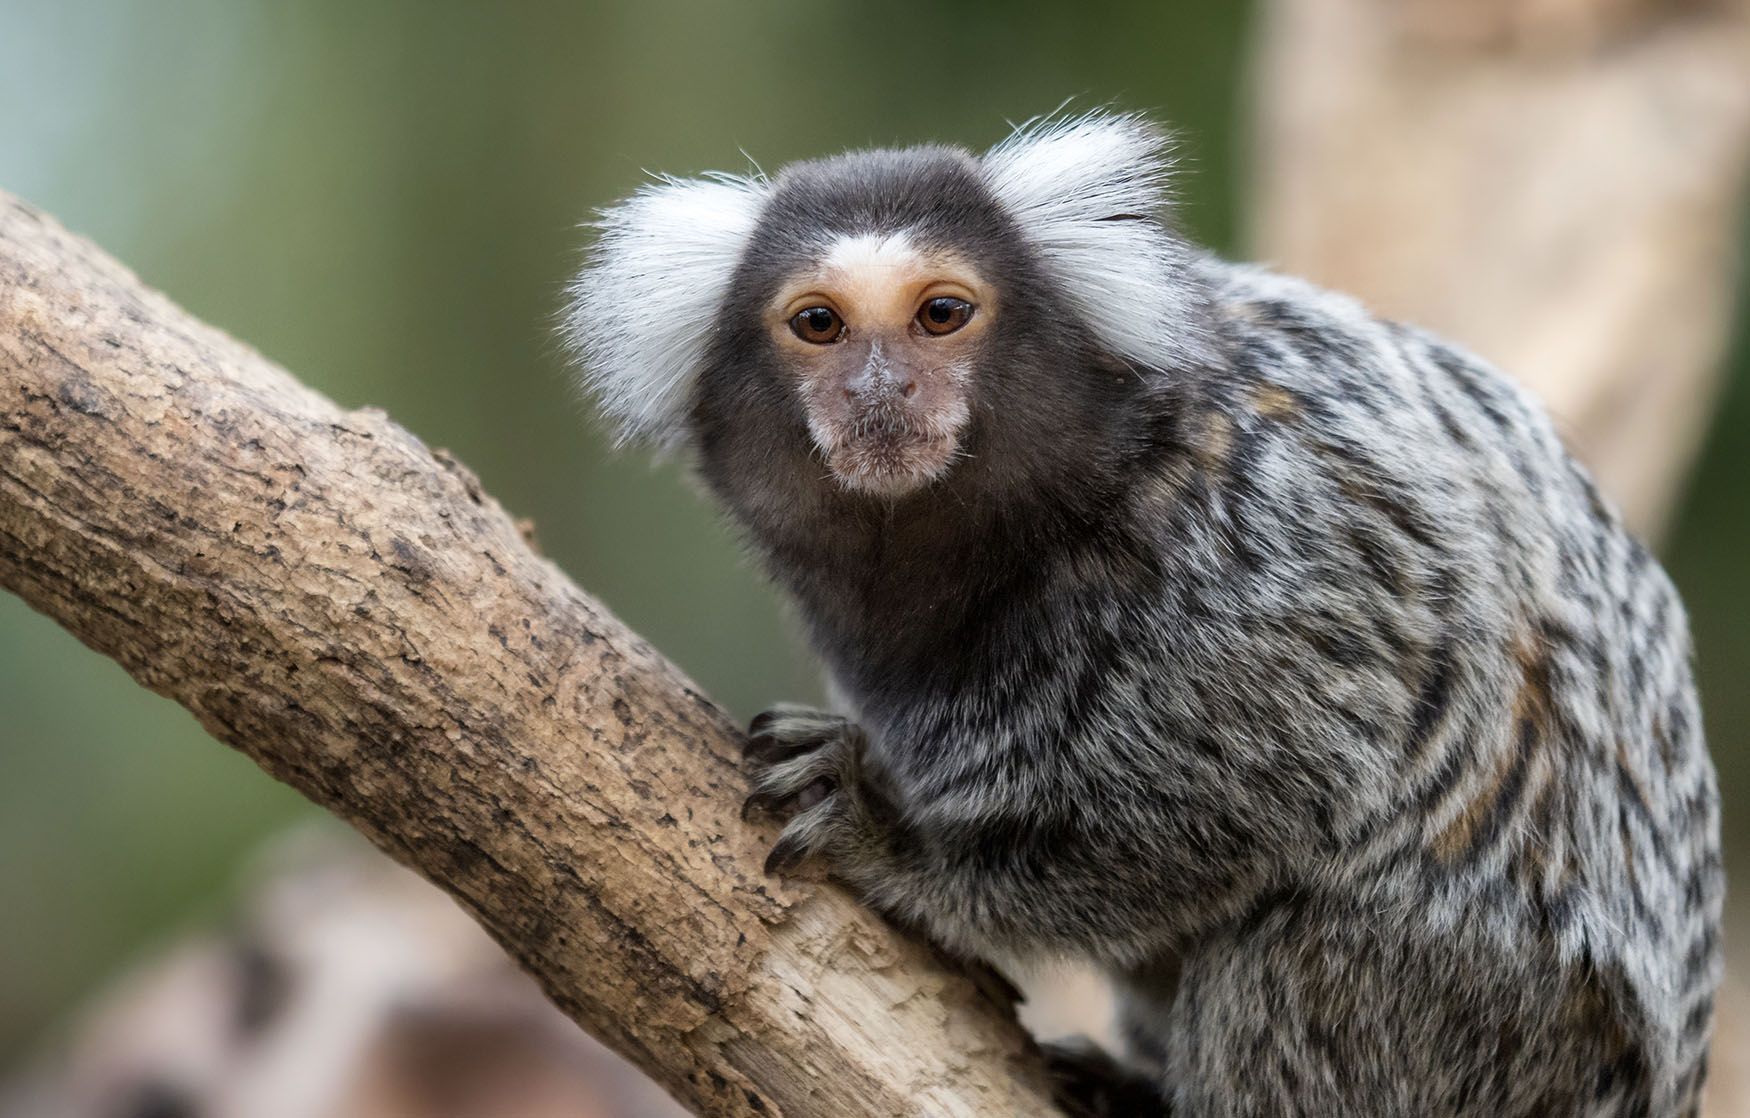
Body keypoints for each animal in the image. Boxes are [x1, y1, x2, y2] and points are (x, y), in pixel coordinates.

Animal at [563, 115, 1722, 1118]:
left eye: (942, 312)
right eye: (818, 323)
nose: (880, 391)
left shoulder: (1272, 526)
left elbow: (1232, 801)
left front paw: (895, 842)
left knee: (1292, 963)